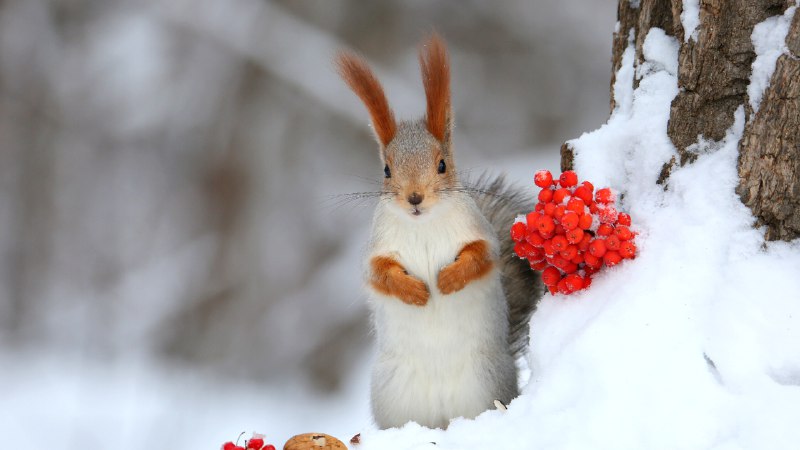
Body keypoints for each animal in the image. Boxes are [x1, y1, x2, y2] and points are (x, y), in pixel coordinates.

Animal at [336, 34, 542, 430]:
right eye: (386, 170)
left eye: (442, 164)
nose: (414, 197)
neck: (423, 224)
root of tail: (444, 419)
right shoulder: (377, 247)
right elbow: (379, 274)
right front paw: (415, 292)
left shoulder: (481, 235)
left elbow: (479, 258)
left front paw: (447, 281)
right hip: (394, 395)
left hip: (483, 382)